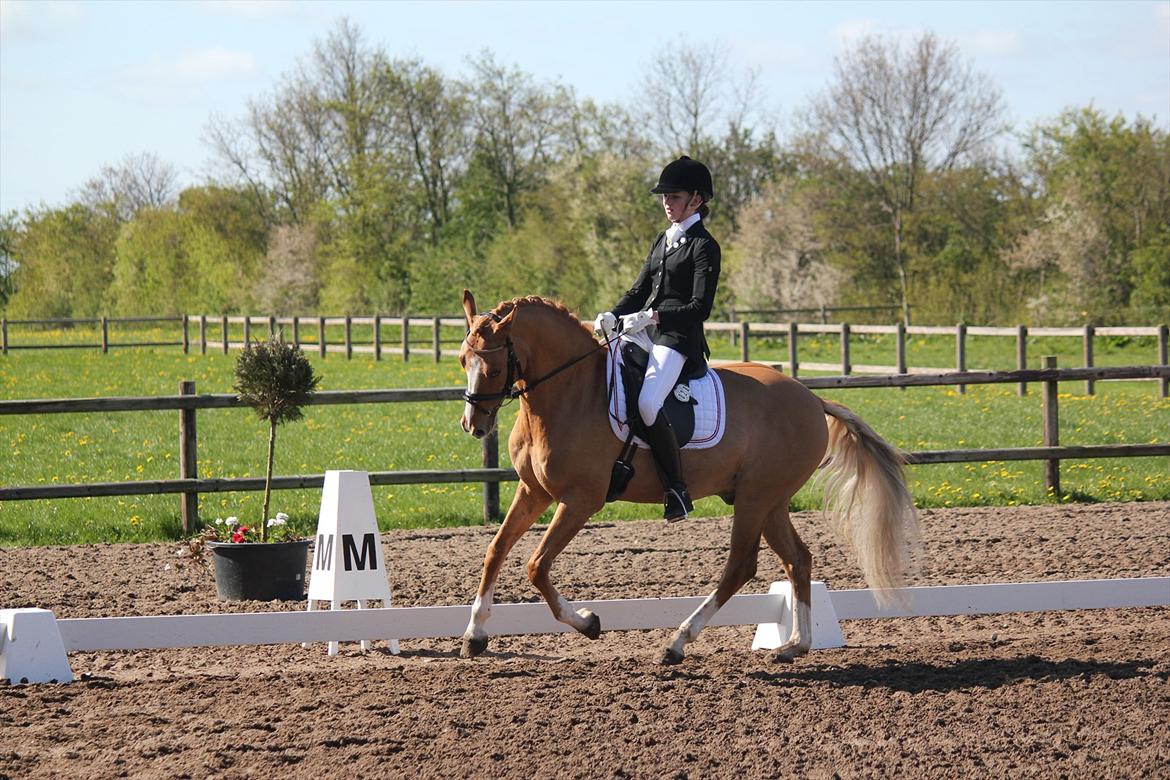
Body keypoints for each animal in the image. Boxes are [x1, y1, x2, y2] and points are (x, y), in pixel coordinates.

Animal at [456, 291, 919, 665]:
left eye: (493, 369)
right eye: (463, 361)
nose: (472, 426)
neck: (570, 393)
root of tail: (811, 397)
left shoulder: (580, 500)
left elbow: (536, 565)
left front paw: (587, 622)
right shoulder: (533, 491)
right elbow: (496, 550)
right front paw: (474, 635)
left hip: (756, 498)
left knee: (740, 565)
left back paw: (677, 642)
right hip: (769, 501)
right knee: (797, 559)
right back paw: (793, 647)